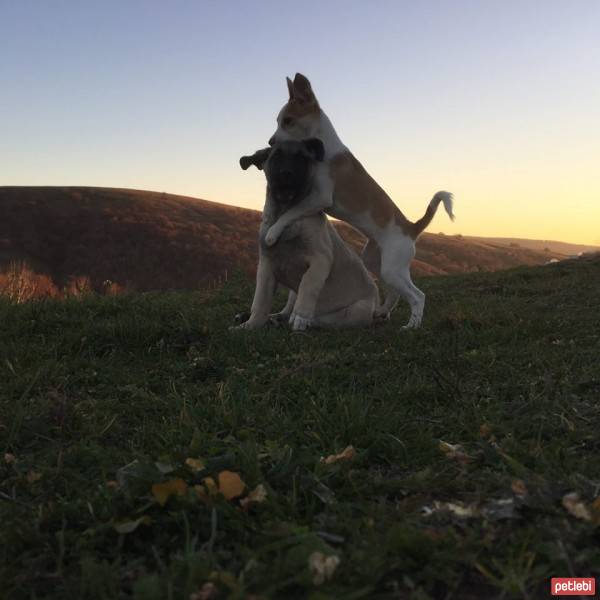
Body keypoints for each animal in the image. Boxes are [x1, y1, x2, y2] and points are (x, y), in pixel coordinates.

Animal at [233, 138, 378, 330]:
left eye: (302, 158)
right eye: (276, 156)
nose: (287, 174)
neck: (286, 216)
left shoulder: (320, 260)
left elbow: (308, 285)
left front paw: (301, 316)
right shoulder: (266, 266)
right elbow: (260, 302)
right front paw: (249, 325)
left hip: (354, 311)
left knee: (322, 319)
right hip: (292, 293)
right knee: (285, 312)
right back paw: (271, 318)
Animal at [268, 74, 454, 330]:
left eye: (288, 121)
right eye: (278, 121)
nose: (270, 141)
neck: (325, 148)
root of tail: (412, 228)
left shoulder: (320, 196)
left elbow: (292, 211)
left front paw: (272, 232)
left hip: (392, 266)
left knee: (418, 296)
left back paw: (412, 325)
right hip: (379, 263)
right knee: (396, 292)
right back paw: (383, 312)